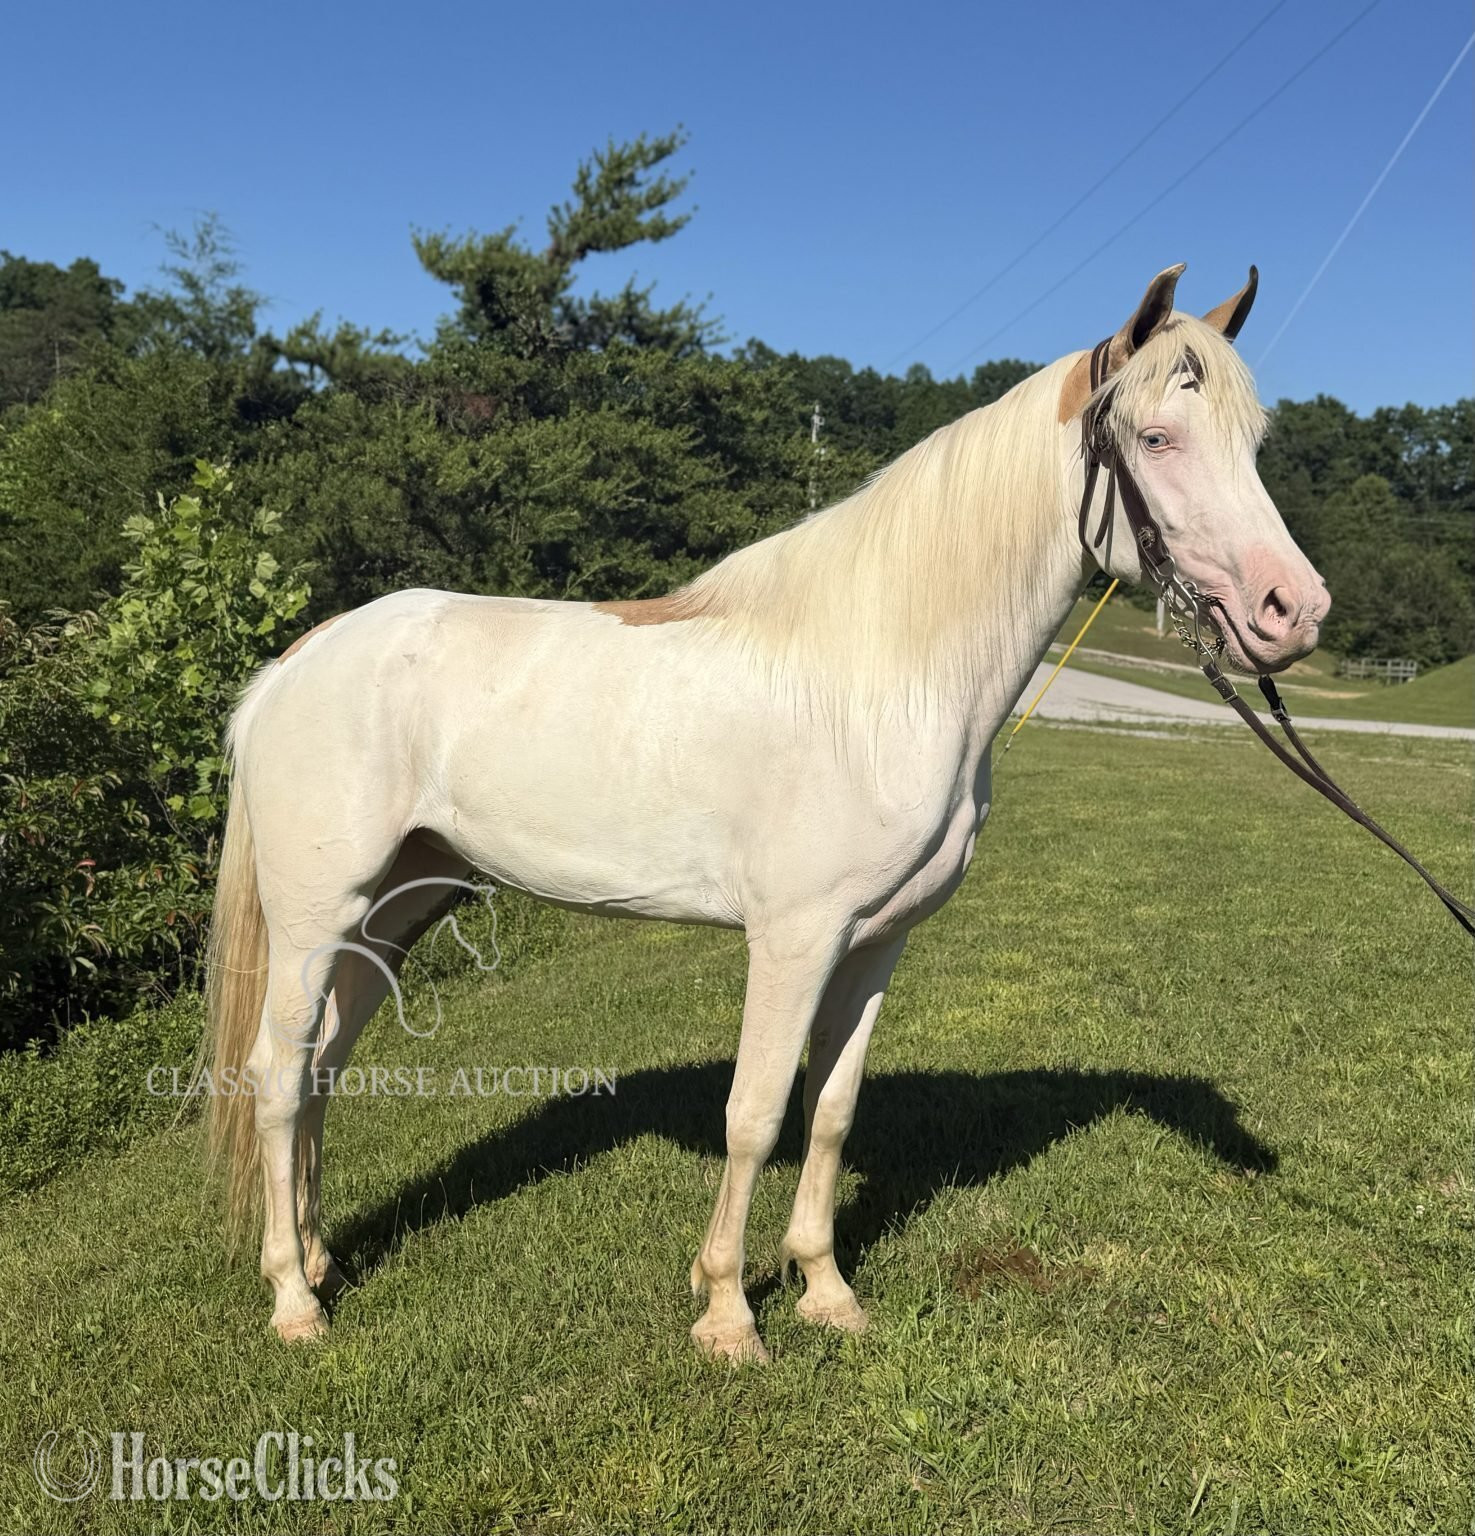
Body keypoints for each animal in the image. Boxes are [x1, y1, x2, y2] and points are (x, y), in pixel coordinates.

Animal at [204, 263, 1328, 1361]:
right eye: (1156, 437)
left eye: (1251, 441)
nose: (1293, 612)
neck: (881, 673)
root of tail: (292, 663)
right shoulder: (793, 938)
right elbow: (752, 1113)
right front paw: (726, 1315)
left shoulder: (874, 942)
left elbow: (828, 1111)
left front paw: (825, 1292)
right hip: (316, 913)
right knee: (277, 1072)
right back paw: (293, 1301)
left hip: (393, 909)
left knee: (324, 1066)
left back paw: (321, 1260)